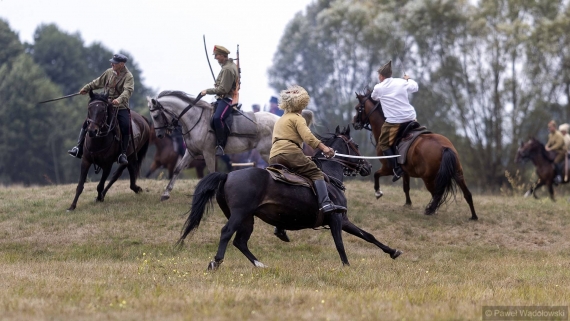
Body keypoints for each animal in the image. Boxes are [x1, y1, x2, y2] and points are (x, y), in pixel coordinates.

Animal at [146, 90, 280, 200]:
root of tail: (279, 119)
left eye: (156, 116)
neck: (195, 120)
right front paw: (166, 193)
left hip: (266, 153)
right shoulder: (191, 152)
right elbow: (177, 169)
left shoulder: (208, 152)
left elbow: (211, 172)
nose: (159, 135)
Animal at [175, 126, 402, 268]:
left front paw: (393, 251)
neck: (329, 177)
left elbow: (368, 236)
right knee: (226, 233)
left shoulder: (344, 219)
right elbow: (340, 243)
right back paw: (216, 261)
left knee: (240, 242)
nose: (367, 166)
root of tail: (228, 174)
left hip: (248, 218)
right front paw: (347, 265)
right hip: (240, 214)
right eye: (354, 145)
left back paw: (260, 264)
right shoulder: (336, 218)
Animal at [350, 90, 474, 220]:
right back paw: (473, 216)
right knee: (467, 194)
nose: (354, 123)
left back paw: (431, 211)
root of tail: (445, 148)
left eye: (358, 108)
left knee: (436, 195)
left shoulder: (388, 168)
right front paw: (408, 203)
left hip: (429, 179)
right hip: (458, 174)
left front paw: (378, 192)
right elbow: (406, 187)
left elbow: (376, 175)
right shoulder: (405, 171)